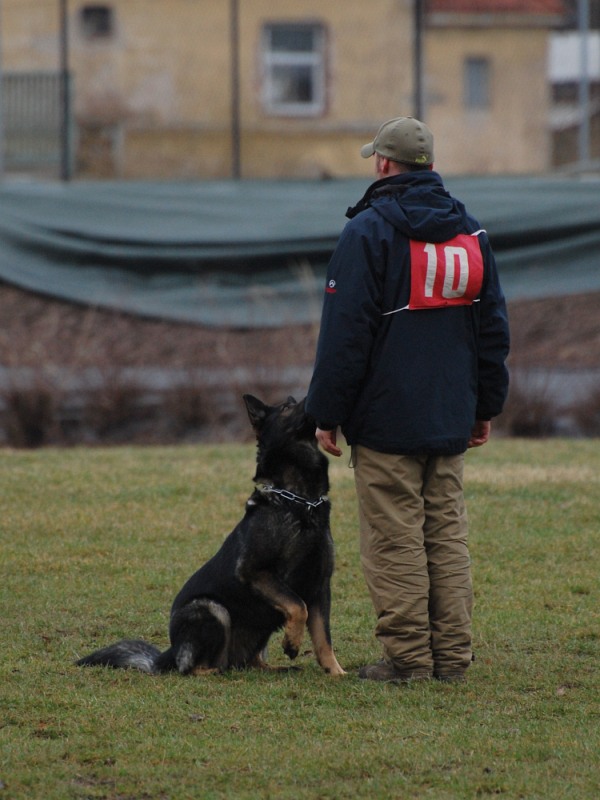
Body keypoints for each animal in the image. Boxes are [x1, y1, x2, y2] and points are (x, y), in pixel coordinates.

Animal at [77, 394, 344, 676]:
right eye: (286, 407)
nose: (314, 400)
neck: (299, 500)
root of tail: (167, 655)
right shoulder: (255, 571)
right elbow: (297, 605)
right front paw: (292, 642)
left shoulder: (321, 586)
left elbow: (323, 638)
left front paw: (337, 673)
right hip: (211, 609)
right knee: (194, 667)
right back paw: (217, 671)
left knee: (250, 662)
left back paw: (276, 668)